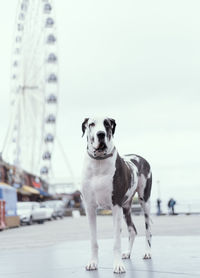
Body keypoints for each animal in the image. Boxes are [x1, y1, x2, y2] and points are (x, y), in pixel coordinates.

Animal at [81, 116, 152, 274]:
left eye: (107, 124)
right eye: (91, 124)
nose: (100, 134)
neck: (99, 163)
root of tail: (140, 157)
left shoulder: (115, 206)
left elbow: (116, 242)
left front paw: (118, 265)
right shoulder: (90, 208)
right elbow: (93, 241)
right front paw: (93, 262)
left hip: (144, 202)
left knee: (148, 229)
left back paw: (147, 252)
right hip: (126, 208)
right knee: (132, 230)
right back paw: (128, 253)